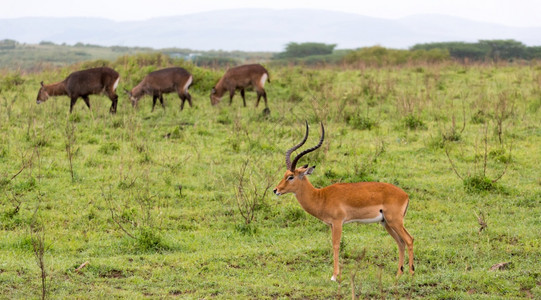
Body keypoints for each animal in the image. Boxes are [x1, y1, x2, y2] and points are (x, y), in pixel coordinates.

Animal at [274, 121, 414, 282]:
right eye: (285, 174)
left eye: (291, 177)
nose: (276, 190)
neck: (321, 196)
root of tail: (405, 195)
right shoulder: (331, 225)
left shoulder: (337, 222)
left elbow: (336, 245)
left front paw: (334, 276)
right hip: (386, 223)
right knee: (400, 242)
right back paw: (398, 274)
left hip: (395, 221)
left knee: (409, 240)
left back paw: (411, 273)